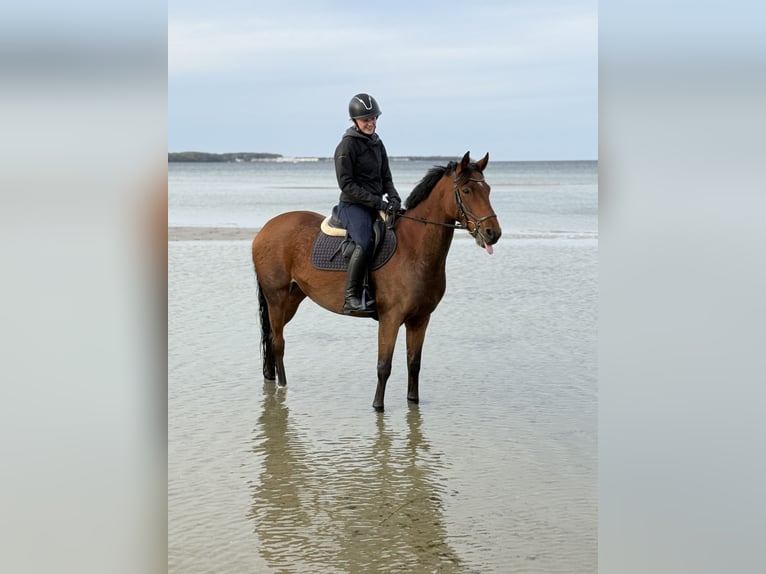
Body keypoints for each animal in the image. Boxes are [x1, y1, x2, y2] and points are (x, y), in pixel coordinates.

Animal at [254, 151, 504, 412]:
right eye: (466, 191)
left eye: (487, 189)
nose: (492, 233)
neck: (414, 250)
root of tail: (267, 228)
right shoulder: (390, 319)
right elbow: (384, 366)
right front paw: (378, 406)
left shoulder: (420, 320)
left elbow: (414, 364)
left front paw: (413, 402)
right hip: (277, 298)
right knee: (278, 341)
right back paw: (283, 387)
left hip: (292, 299)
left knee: (271, 337)